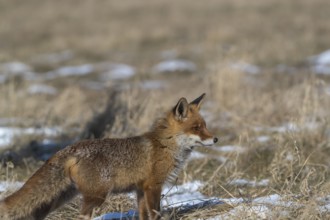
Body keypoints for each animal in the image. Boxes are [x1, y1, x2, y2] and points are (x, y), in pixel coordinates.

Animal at [0, 93, 217, 220]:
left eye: (205, 126)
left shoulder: (140, 189)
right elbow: (155, 214)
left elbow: (143, 215)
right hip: (97, 195)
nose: (215, 139)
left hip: (59, 198)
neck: (166, 145)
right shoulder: (153, 186)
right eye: (197, 128)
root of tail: (71, 148)